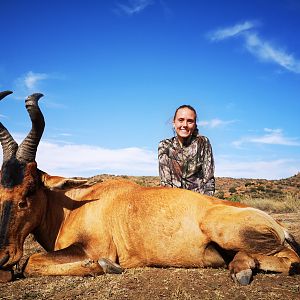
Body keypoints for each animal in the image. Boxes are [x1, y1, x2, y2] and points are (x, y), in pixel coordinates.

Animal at [0, 89, 298, 286]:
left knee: (291, 259)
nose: (3, 256)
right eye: (1, 190)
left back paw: (241, 270)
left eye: (30, 190)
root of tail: (276, 223)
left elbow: (29, 262)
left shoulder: (94, 248)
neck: (76, 204)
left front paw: (104, 268)